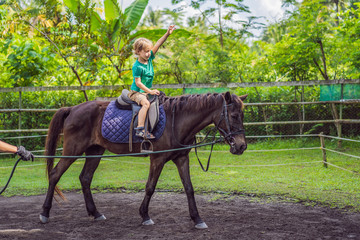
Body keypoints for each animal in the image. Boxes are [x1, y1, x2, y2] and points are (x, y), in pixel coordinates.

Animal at [39, 91, 248, 229]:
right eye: (234, 115)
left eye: (242, 116)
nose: (241, 146)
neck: (177, 120)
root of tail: (72, 109)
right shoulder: (158, 159)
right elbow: (150, 187)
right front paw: (145, 215)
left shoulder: (181, 158)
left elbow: (189, 188)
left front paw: (197, 219)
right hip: (72, 151)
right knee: (55, 174)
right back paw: (44, 213)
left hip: (94, 151)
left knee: (85, 178)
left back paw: (95, 213)